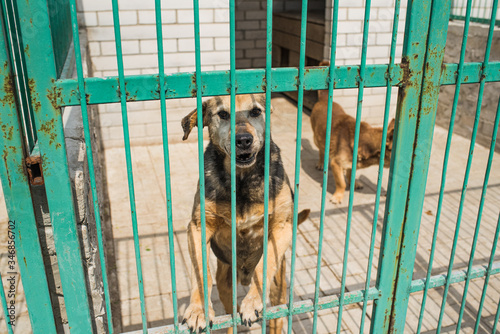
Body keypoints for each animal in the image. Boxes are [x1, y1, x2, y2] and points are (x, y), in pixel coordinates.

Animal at [182, 94, 310, 334]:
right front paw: (199, 309)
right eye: (223, 114)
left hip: (278, 290)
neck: (241, 181)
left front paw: (251, 303)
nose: (243, 140)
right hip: (226, 286)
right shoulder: (197, 228)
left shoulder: (282, 227)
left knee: (276, 316)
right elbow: (201, 271)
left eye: (256, 111)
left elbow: (264, 265)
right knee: (230, 314)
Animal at [308, 62, 394, 204]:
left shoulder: (351, 165)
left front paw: (354, 183)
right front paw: (338, 196)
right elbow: (341, 183)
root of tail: (325, 99)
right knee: (321, 151)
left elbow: (350, 174)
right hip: (317, 139)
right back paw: (321, 163)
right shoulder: (335, 163)